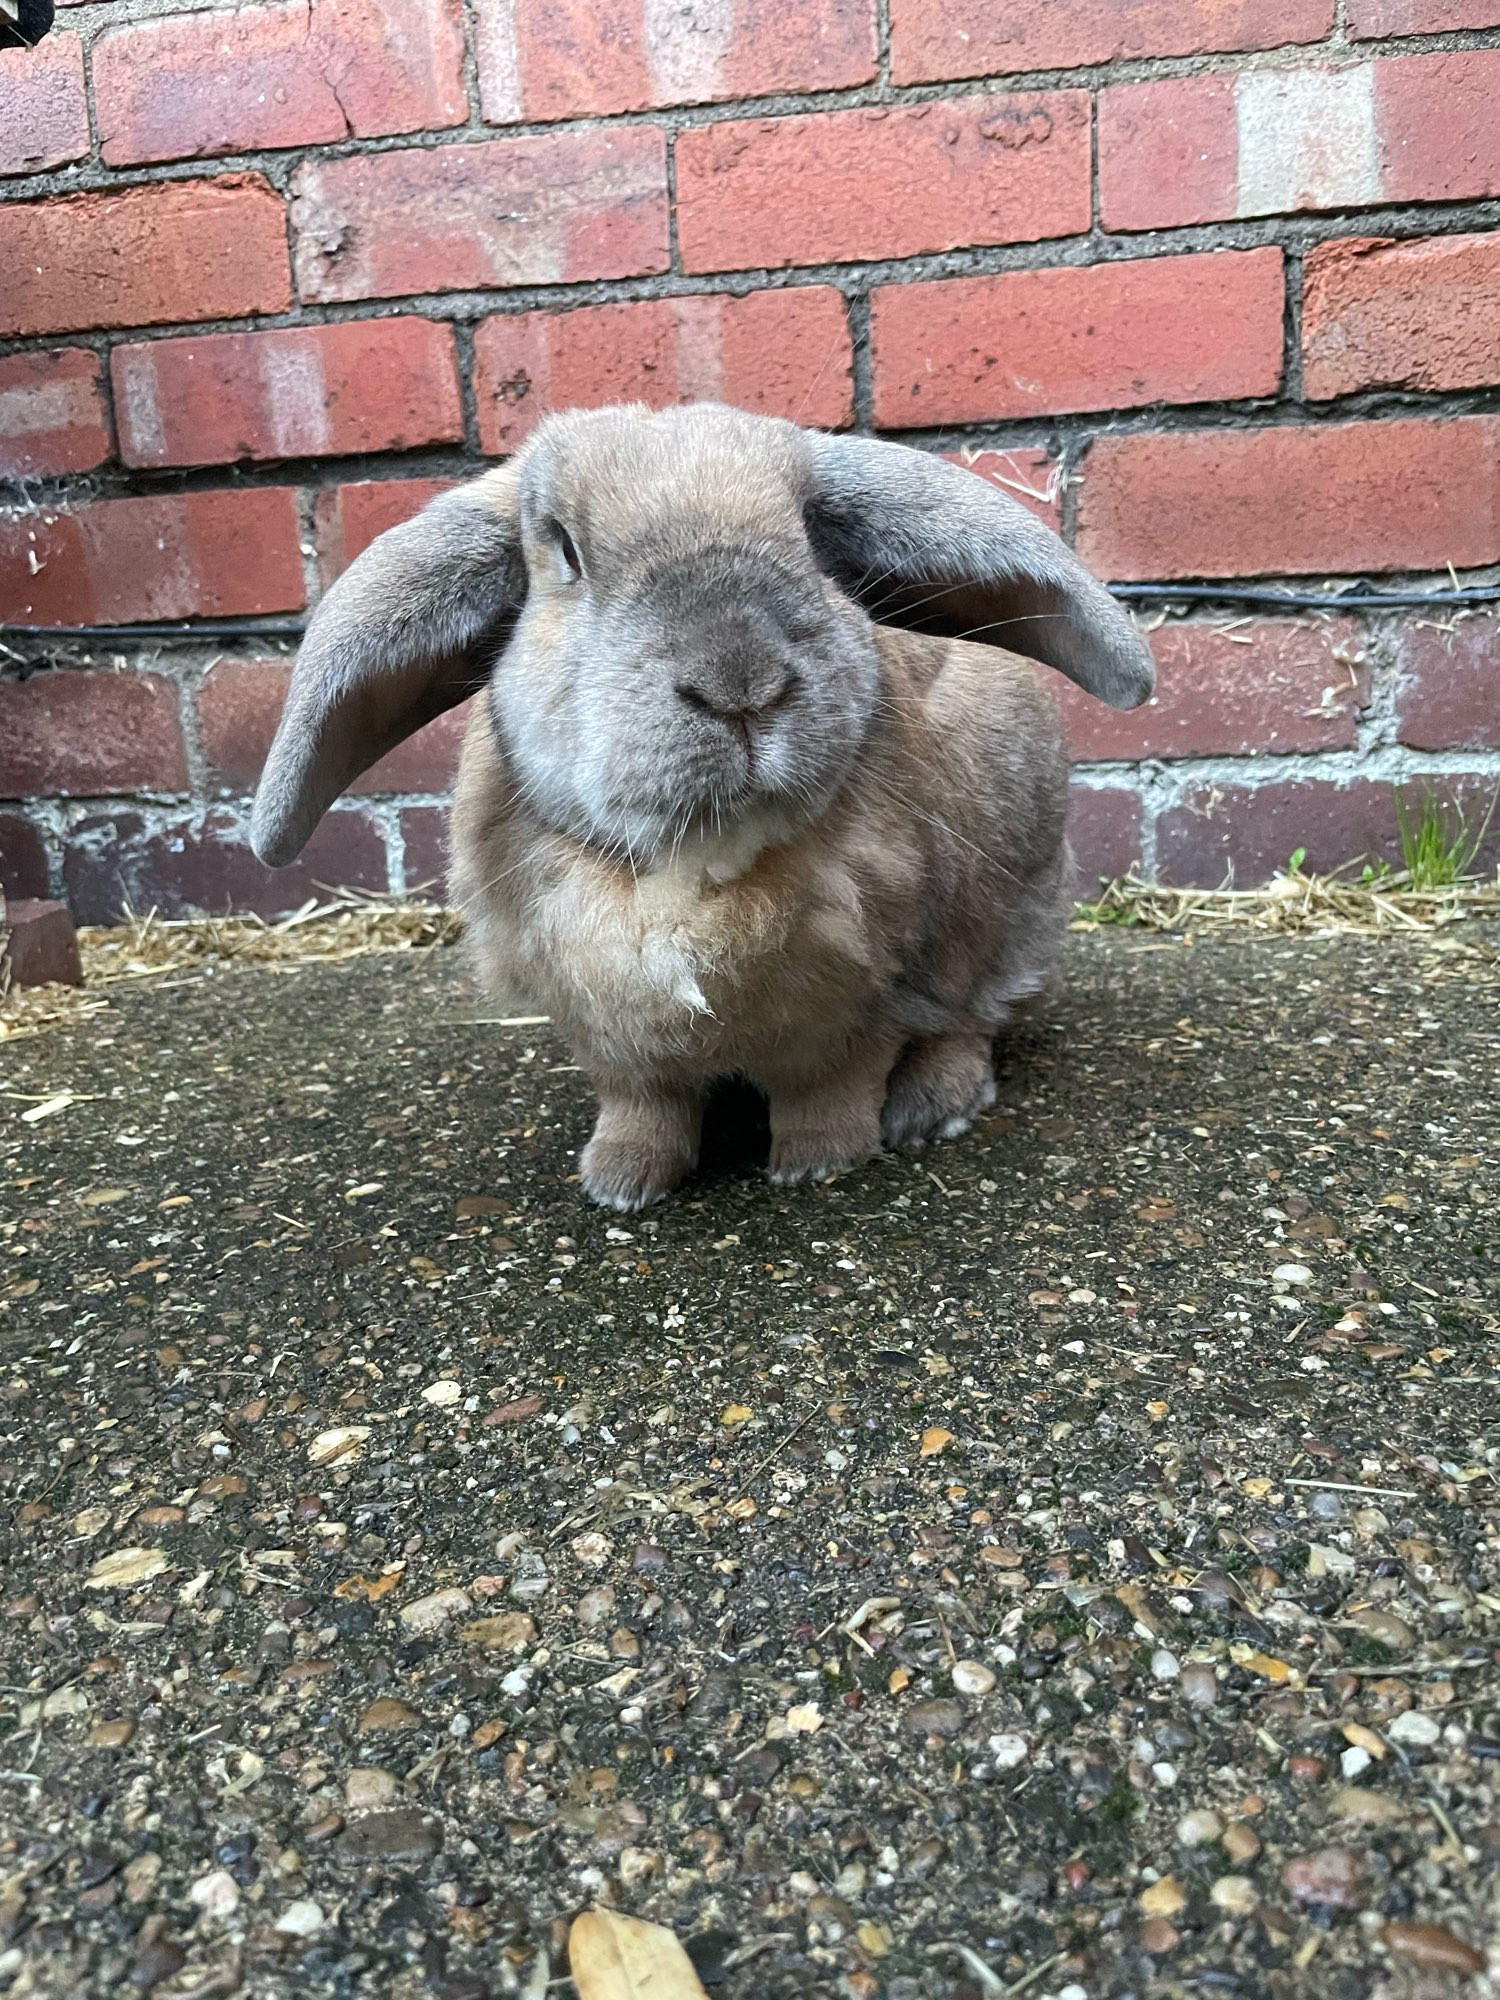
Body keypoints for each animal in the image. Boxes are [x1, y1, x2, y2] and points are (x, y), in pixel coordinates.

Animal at [256, 394, 1152, 1200]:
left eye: (810, 534)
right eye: (566, 552)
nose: (740, 684)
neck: (699, 870)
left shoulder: (859, 1010)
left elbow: (831, 1094)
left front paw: (819, 1165)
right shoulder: (607, 1036)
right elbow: (643, 1110)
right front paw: (618, 1184)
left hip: (1015, 913)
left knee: (973, 1018)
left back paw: (933, 1111)